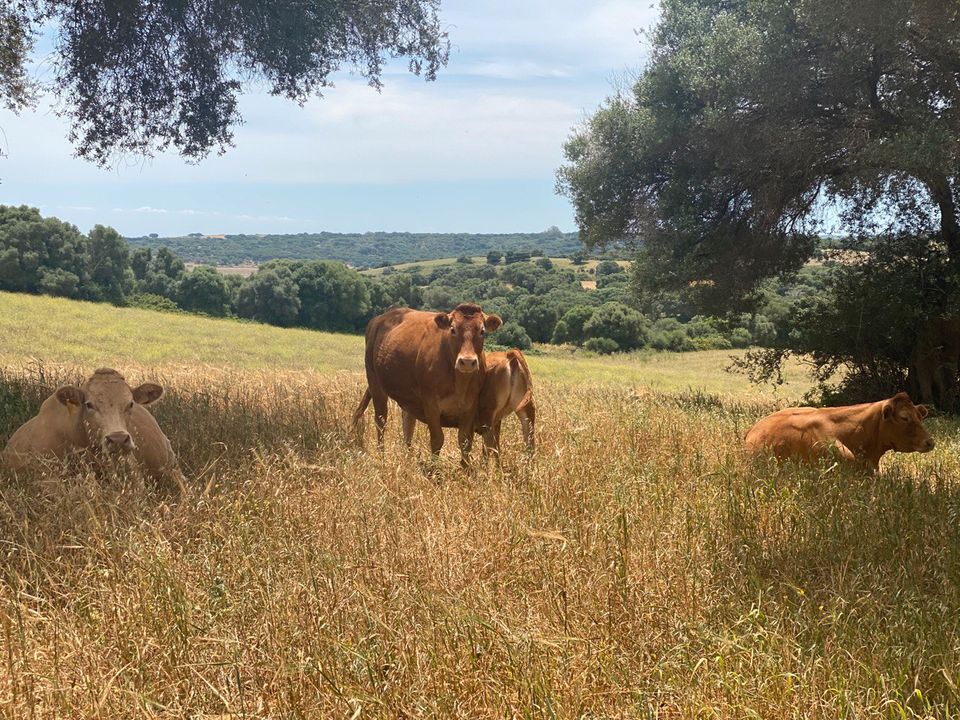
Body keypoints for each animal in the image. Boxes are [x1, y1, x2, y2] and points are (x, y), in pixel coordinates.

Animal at [352, 302, 502, 462]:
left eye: (482, 331)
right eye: (453, 329)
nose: (467, 362)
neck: (459, 382)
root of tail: (385, 315)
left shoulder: (469, 406)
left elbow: (465, 441)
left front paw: (465, 466)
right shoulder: (431, 404)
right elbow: (437, 440)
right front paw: (434, 466)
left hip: (408, 398)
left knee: (408, 423)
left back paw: (408, 455)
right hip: (375, 382)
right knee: (381, 421)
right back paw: (381, 454)